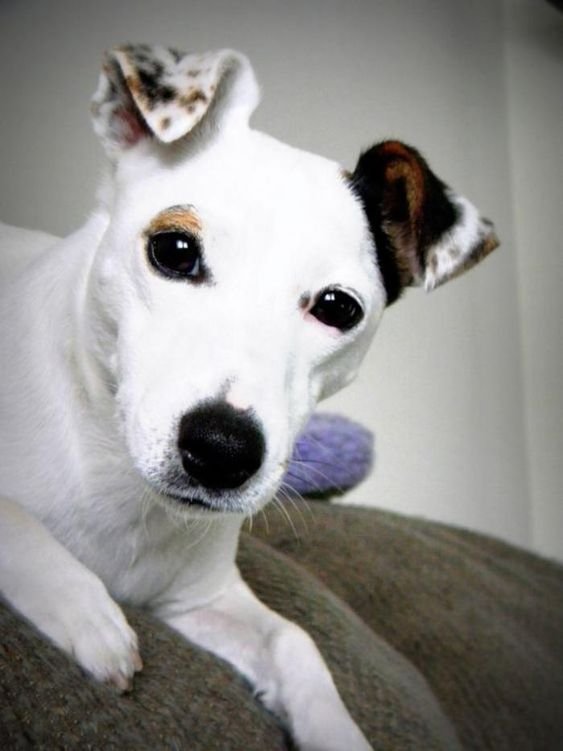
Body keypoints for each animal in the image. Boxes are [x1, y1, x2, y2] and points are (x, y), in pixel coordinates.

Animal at [0, 44, 500, 748]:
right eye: (175, 249)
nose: (221, 450)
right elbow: (12, 519)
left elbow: (296, 643)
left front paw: (336, 731)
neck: (119, 489)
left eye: (338, 307)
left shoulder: (203, 602)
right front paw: (84, 610)